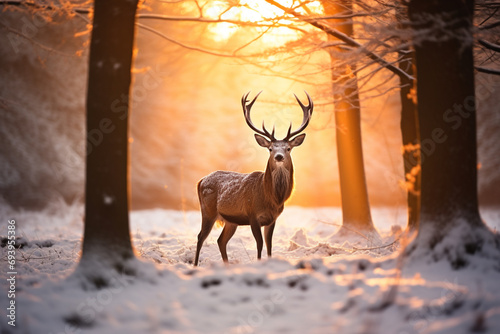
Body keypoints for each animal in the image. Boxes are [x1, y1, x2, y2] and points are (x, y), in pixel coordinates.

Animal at [194, 90, 314, 264]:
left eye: (288, 148)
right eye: (270, 148)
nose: (278, 156)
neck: (271, 198)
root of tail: (201, 180)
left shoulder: (272, 219)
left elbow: (269, 245)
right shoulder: (253, 215)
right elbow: (260, 244)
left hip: (231, 221)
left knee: (220, 240)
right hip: (207, 210)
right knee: (200, 237)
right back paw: (195, 265)